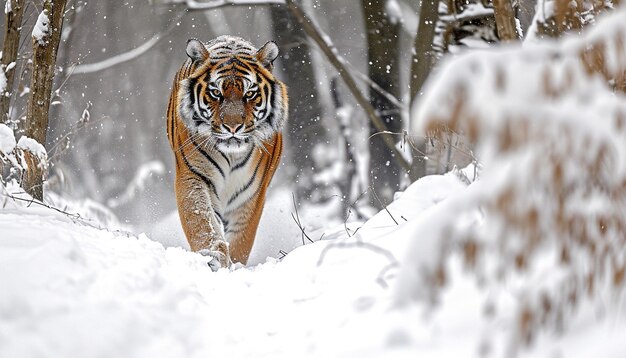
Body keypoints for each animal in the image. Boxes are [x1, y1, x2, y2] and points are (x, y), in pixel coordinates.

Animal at [163, 36, 286, 270]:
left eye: (250, 94)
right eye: (216, 93)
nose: (232, 127)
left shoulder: (252, 194)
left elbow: (242, 239)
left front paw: (234, 265)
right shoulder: (193, 176)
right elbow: (201, 221)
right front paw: (212, 256)